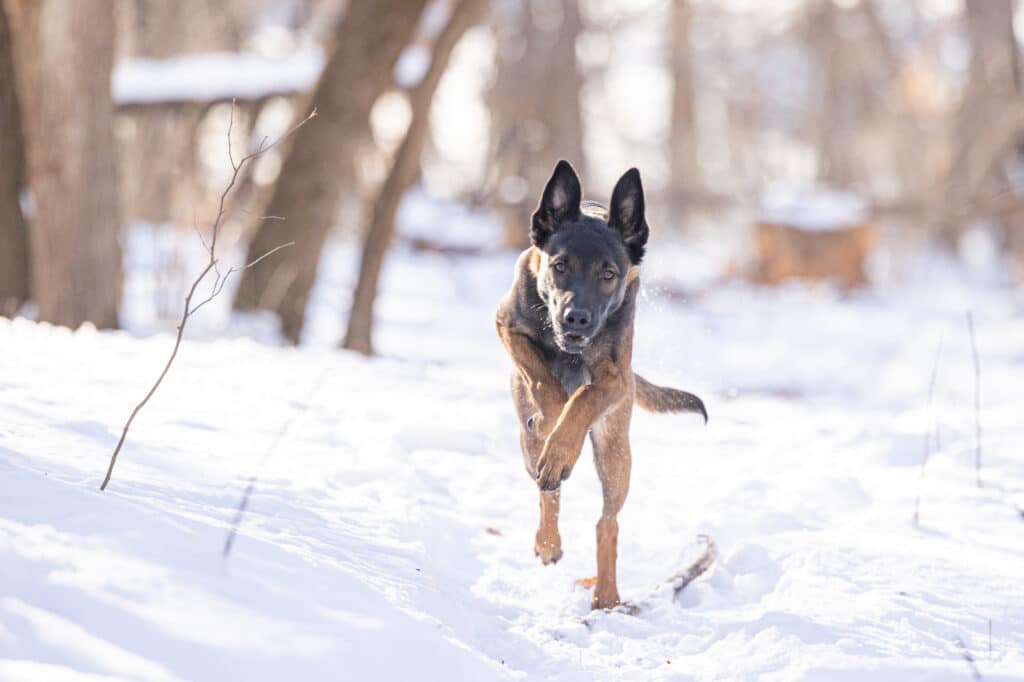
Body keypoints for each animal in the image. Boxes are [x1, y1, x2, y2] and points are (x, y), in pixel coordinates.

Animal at [493, 160, 704, 610]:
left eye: (608, 274)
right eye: (559, 265)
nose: (577, 317)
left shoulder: (615, 377)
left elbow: (584, 400)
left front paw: (564, 437)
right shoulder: (508, 325)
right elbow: (544, 380)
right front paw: (555, 421)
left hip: (615, 452)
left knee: (607, 522)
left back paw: (606, 594)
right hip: (526, 443)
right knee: (547, 490)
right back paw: (548, 542)